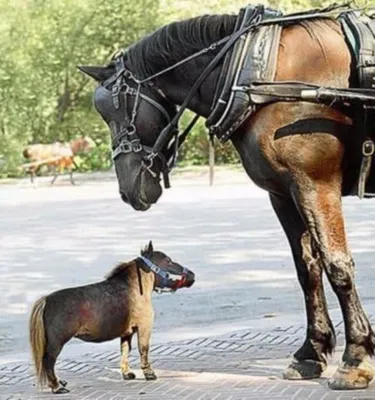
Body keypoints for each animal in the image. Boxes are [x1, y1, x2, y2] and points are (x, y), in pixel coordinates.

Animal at [29, 241, 195, 394]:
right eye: (168, 261)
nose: (191, 274)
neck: (134, 289)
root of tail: (46, 301)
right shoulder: (144, 327)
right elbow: (143, 349)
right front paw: (149, 373)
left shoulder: (127, 333)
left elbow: (125, 351)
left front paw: (127, 373)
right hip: (56, 343)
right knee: (48, 362)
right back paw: (56, 386)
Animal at [79, 3, 375, 390]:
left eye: (117, 110)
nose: (128, 189)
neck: (260, 73)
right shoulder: (284, 192)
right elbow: (307, 271)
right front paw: (312, 351)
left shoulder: (315, 184)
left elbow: (337, 267)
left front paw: (356, 356)